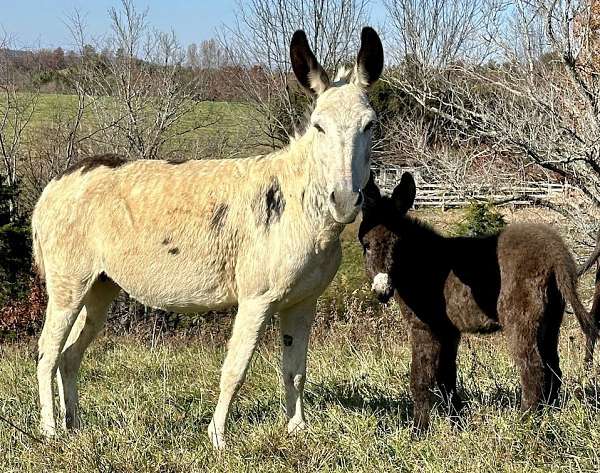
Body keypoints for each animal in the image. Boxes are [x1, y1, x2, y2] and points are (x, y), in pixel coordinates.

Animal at [358, 172, 596, 428]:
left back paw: (524, 423)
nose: (382, 291)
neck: (421, 263)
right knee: (553, 369)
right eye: (366, 245)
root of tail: (555, 251)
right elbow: (446, 377)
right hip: (551, 321)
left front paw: (419, 429)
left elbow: (420, 379)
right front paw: (457, 422)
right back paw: (548, 417)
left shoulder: (424, 327)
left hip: (520, 319)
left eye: (398, 245)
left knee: (533, 370)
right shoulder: (449, 331)